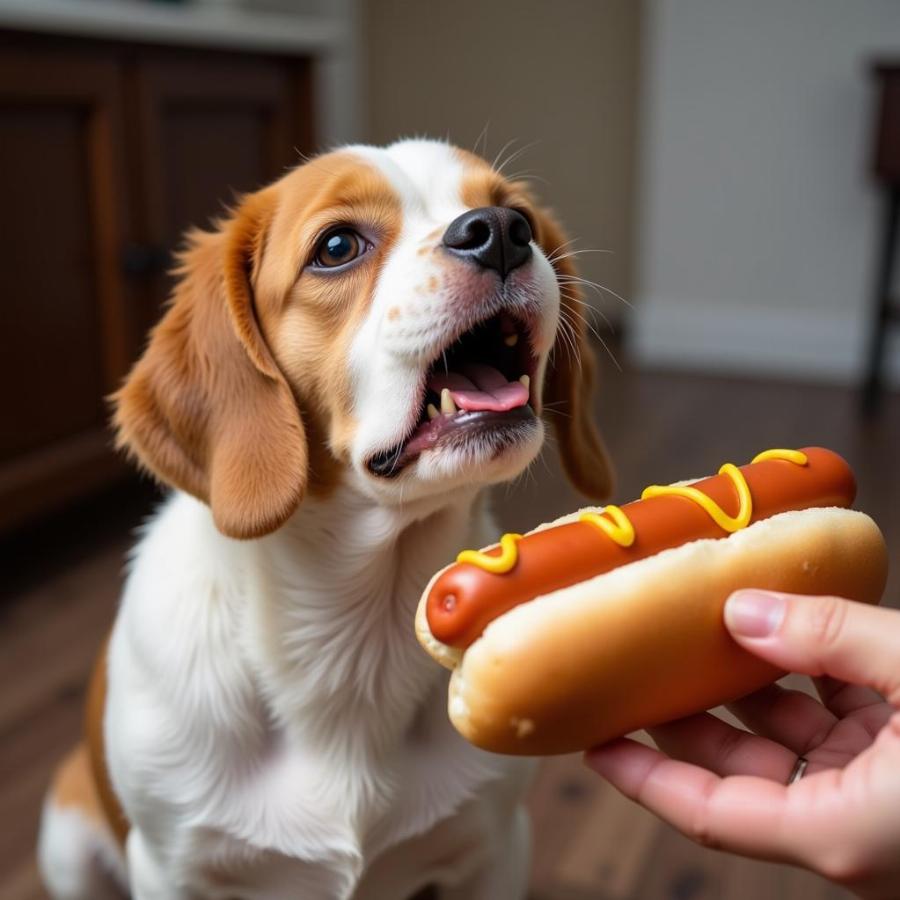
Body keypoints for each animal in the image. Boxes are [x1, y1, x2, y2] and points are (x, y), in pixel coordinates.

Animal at [37, 137, 612, 896]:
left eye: (519, 214)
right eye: (337, 246)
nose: (500, 232)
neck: (353, 633)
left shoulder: (494, 846)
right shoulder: (171, 869)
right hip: (67, 837)